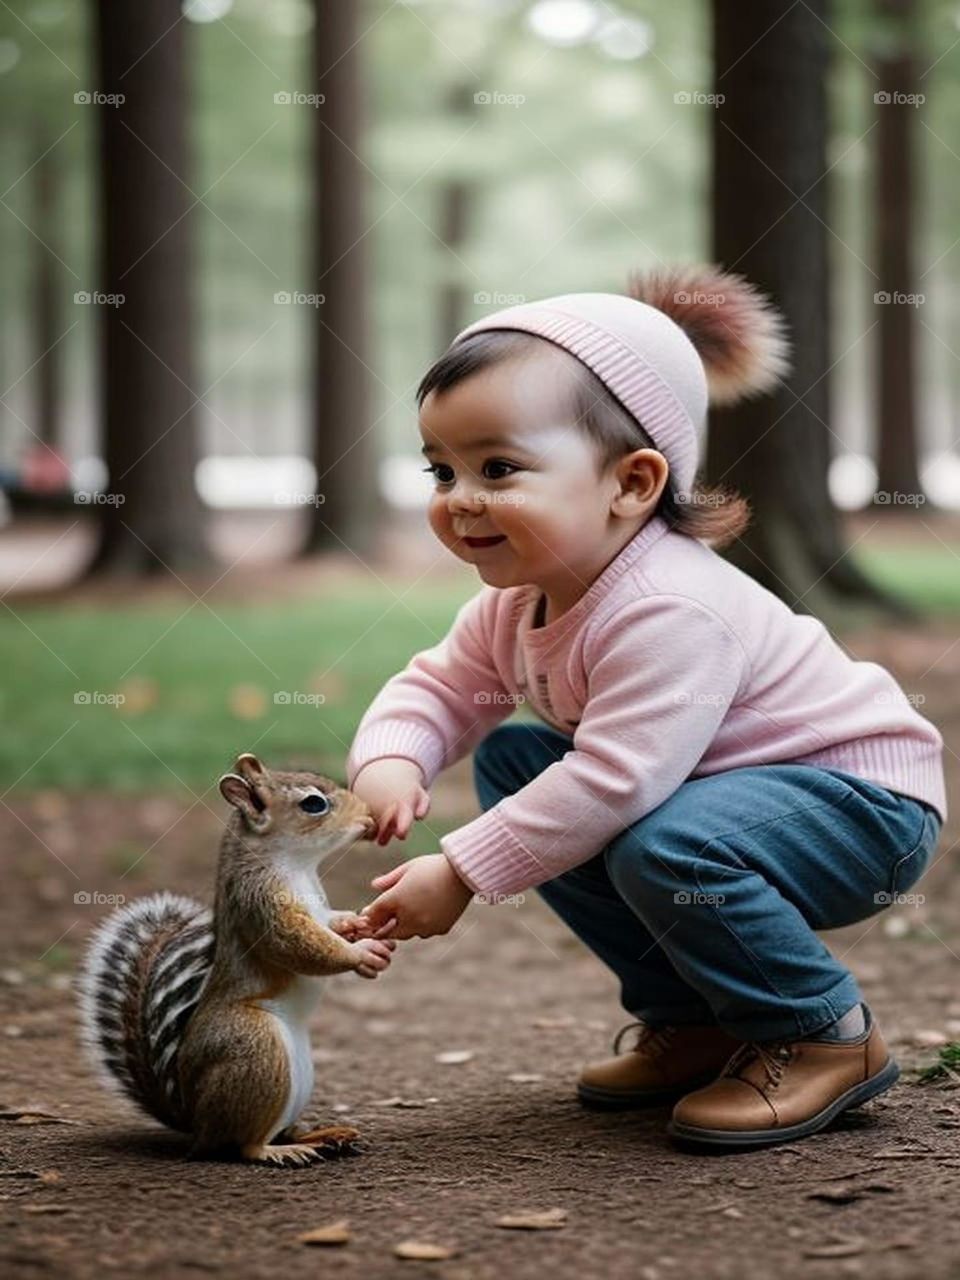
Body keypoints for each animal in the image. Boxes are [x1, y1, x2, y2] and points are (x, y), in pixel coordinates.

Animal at [78, 752, 395, 1166]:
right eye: (314, 804)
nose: (370, 816)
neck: (295, 864)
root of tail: (194, 1122)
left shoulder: (315, 909)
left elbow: (328, 922)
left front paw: (355, 924)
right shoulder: (259, 901)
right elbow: (300, 944)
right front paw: (360, 954)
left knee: (274, 1128)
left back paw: (325, 1134)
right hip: (257, 1049)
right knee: (242, 1144)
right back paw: (283, 1150)